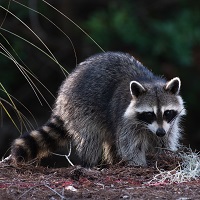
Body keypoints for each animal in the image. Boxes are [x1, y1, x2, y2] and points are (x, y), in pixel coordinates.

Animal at [10, 50, 186, 166]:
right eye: (149, 114)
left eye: (167, 112)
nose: (160, 132)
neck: (150, 82)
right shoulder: (126, 121)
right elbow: (130, 146)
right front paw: (138, 164)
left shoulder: (169, 124)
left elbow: (165, 141)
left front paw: (166, 155)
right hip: (81, 109)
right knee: (91, 138)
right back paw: (90, 163)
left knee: (111, 141)